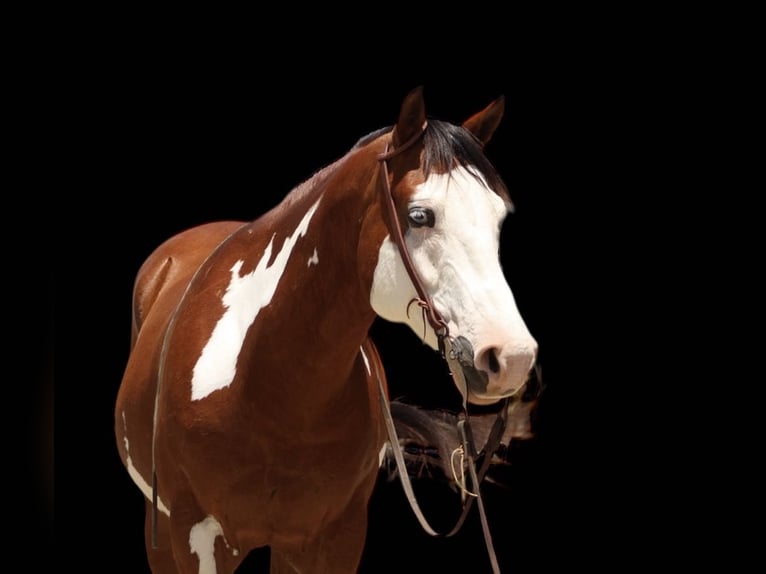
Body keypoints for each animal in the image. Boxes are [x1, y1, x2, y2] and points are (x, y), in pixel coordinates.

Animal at [114, 86, 538, 573]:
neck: (267, 388)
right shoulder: (195, 536)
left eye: (498, 218)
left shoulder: (334, 538)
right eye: (419, 216)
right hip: (161, 529)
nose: (512, 357)